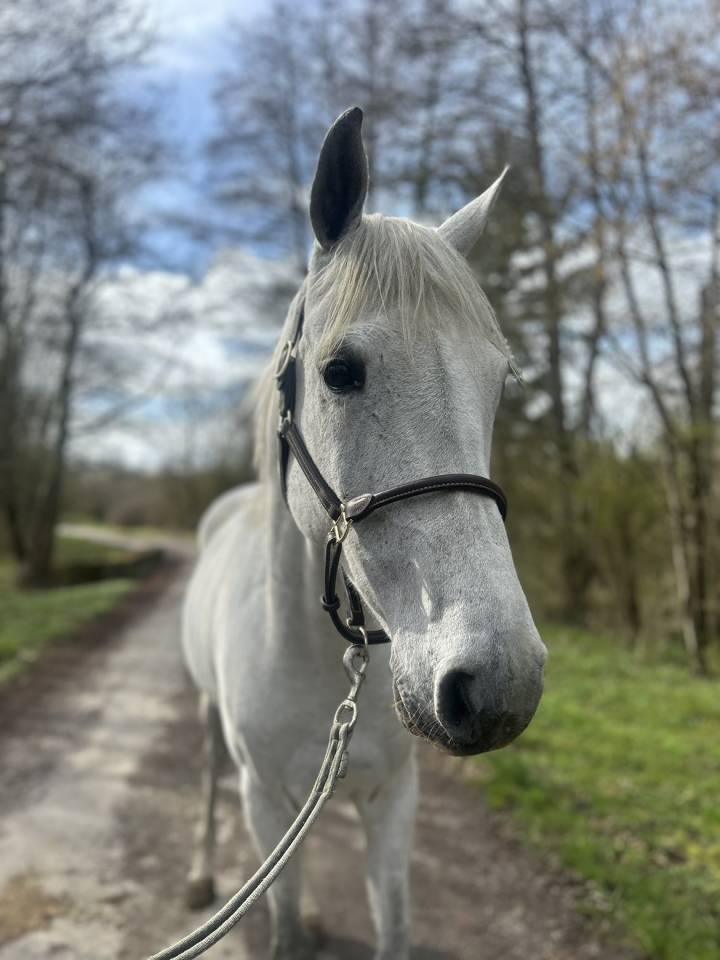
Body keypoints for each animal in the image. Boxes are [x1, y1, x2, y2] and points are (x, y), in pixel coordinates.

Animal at [181, 107, 546, 960]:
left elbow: (391, 921)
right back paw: (202, 873)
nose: (500, 683)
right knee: (208, 784)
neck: (321, 663)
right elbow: (277, 917)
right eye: (340, 371)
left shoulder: (391, 799)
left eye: (499, 382)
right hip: (215, 732)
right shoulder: (264, 799)